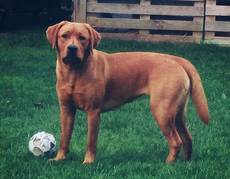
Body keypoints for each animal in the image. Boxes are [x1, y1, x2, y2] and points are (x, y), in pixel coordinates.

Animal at [45, 20, 209, 164]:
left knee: (176, 141)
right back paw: (185, 161)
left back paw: (168, 163)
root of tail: (178, 60)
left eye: (82, 38)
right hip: (178, 113)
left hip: (161, 110)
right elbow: (64, 137)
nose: (72, 48)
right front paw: (59, 158)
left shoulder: (93, 111)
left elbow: (91, 141)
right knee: (187, 138)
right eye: (64, 36)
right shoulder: (66, 109)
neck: (73, 73)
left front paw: (88, 162)